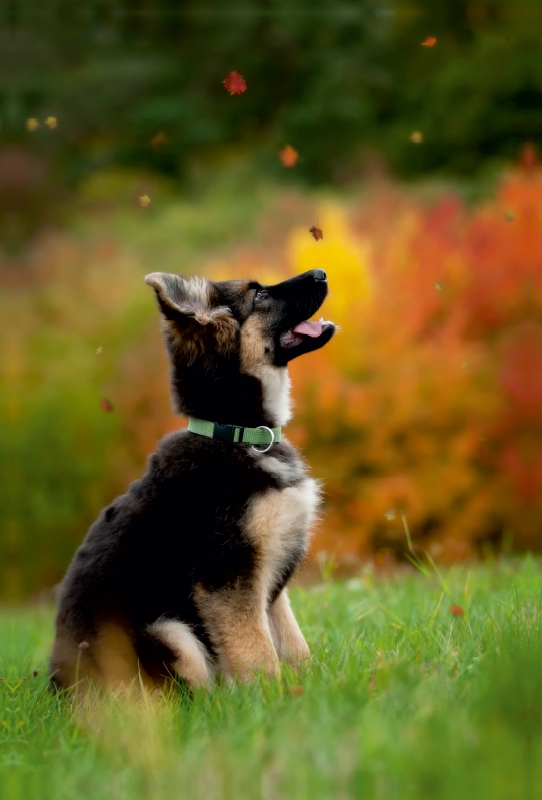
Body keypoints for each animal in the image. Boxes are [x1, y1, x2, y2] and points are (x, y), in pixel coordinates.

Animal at [50, 268, 336, 692]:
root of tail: (59, 691)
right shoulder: (228, 576)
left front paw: (309, 690)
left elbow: (291, 641)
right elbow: (258, 652)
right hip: (167, 632)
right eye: (259, 296)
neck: (237, 434)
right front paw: (271, 698)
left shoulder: (269, 577)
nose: (322, 273)